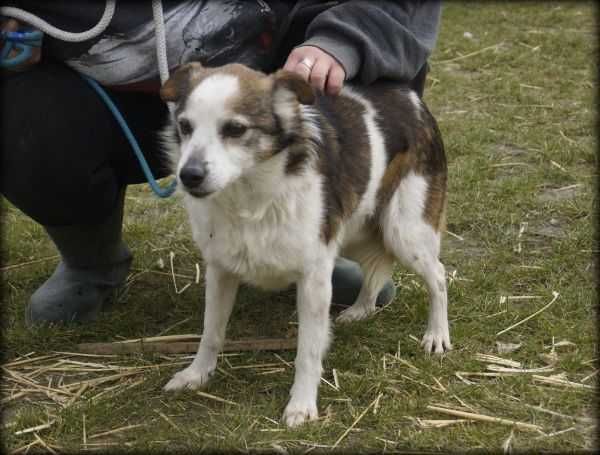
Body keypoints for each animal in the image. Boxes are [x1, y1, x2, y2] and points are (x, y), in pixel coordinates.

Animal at [159, 63, 450, 428]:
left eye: (235, 129)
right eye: (185, 126)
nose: (189, 175)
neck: (249, 195)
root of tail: (408, 96)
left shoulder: (314, 280)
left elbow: (308, 351)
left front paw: (302, 404)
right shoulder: (220, 270)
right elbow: (211, 331)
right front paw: (197, 374)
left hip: (405, 230)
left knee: (438, 275)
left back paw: (437, 334)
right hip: (351, 226)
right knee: (378, 266)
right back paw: (361, 308)